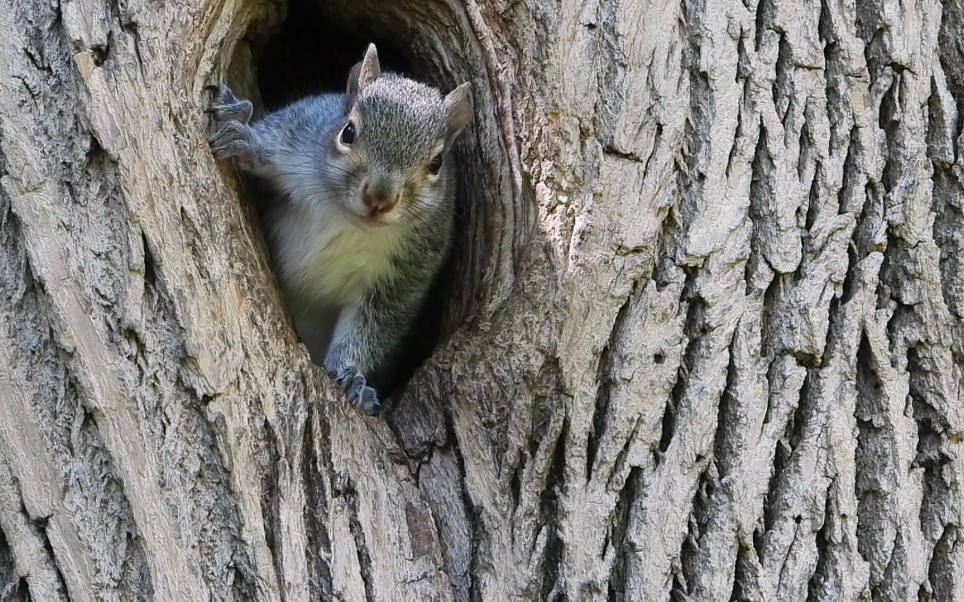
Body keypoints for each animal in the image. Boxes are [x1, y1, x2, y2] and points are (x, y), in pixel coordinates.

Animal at [205, 44, 472, 414]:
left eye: (437, 163)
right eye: (348, 132)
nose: (379, 198)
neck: (346, 219)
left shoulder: (404, 274)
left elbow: (373, 327)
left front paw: (350, 376)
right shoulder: (300, 134)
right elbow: (270, 140)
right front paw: (245, 138)